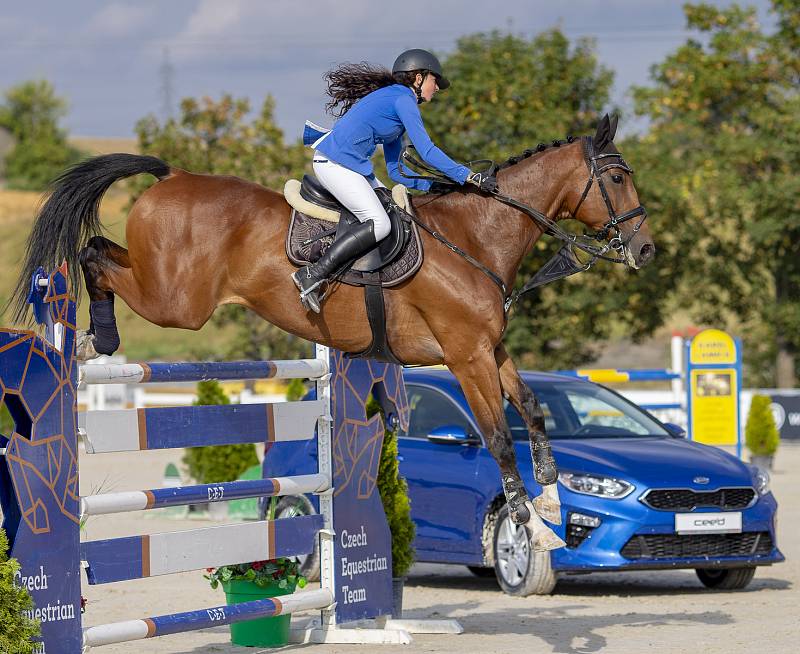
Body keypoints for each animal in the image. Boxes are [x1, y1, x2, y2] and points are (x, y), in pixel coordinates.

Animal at [9, 114, 652, 552]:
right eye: (619, 177)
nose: (644, 250)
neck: (476, 237)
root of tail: (175, 175)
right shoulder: (466, 356)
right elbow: (496, 436)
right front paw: (529, 527)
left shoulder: (491, 348)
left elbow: (533, 409)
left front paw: (550, 500)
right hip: (176, 301)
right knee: (94, 257)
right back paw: (94, 337)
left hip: (167, 287)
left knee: (99, 249)